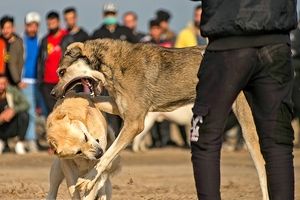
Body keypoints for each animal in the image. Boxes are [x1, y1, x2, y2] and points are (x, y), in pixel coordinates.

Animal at [50, 39, 268, 200]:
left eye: (61, 72)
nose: (52, 94)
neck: (113, 64)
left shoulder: (134, 123)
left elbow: (106, 156)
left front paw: (88, 179)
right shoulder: (121, 107)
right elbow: (92, 99)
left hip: (248, 128)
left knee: (262, 168)